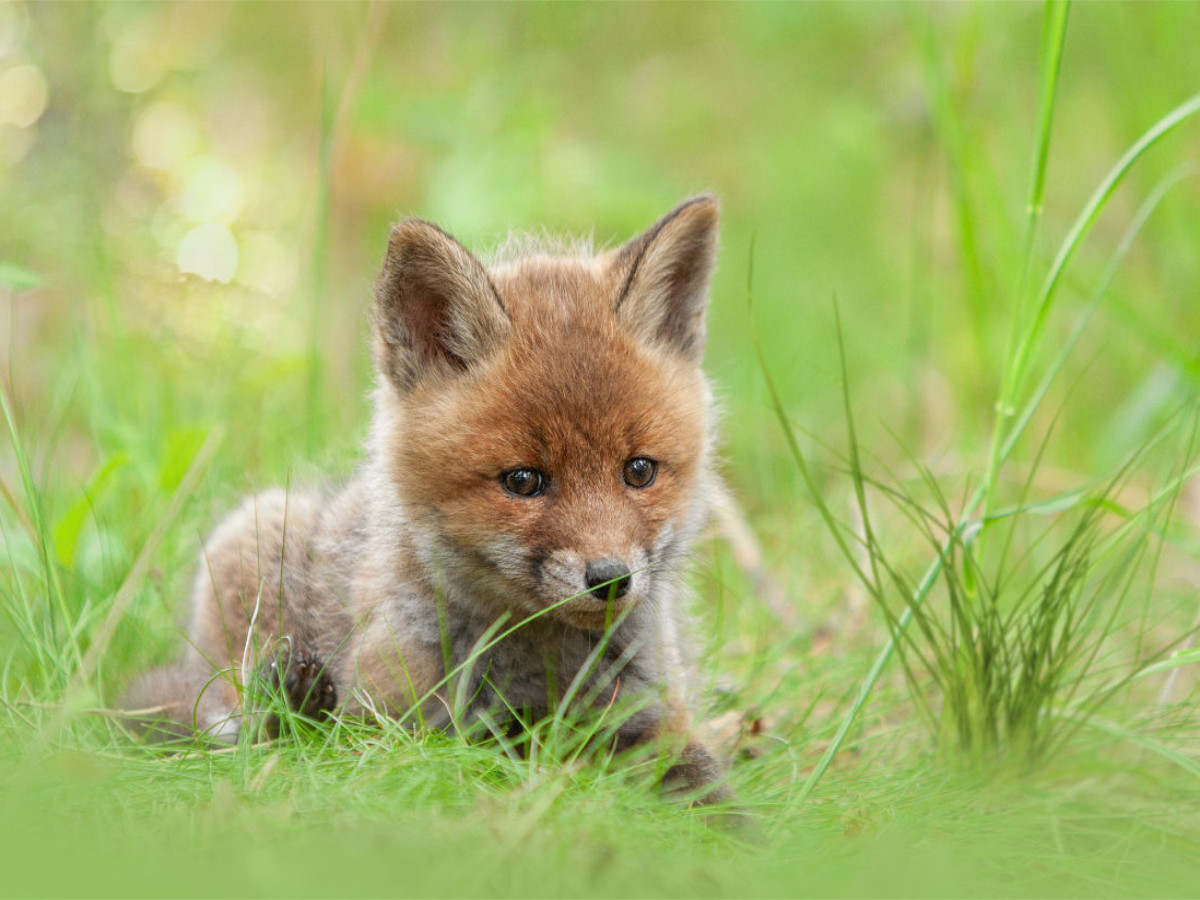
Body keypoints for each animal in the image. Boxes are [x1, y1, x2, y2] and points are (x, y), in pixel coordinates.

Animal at [131, 196, 729, 801]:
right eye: (522, 481)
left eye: (639, 470)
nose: (609, 579)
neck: (538, 666)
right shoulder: (382, 723)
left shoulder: (652, 719)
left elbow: (710, 796)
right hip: (252, 536)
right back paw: (288, 704)